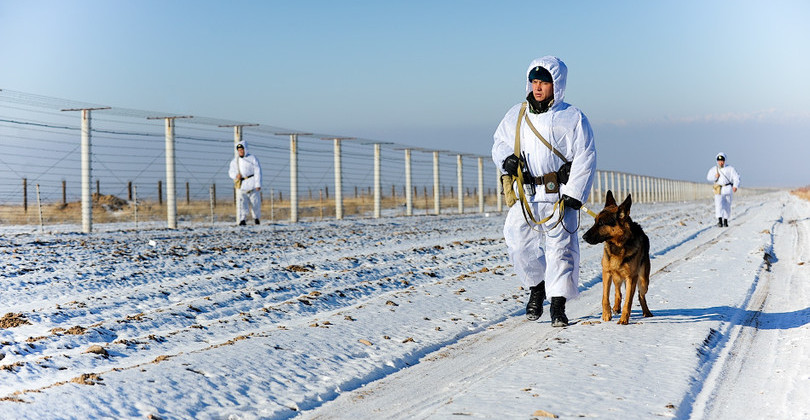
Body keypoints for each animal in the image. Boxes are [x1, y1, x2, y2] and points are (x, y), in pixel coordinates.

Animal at [580, 190, 652, 324]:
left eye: (601, 223)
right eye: (595, 221)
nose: (583, 237)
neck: (618, 246)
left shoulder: (631, 278)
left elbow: (628, 301)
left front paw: (624, 319)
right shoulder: (607, 272)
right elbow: (605, 297)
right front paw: (606, 314)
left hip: (643, 281)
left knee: (641, 295)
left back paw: (646, 312)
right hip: (616, 276)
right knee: (618, 291)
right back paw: (616, 307)